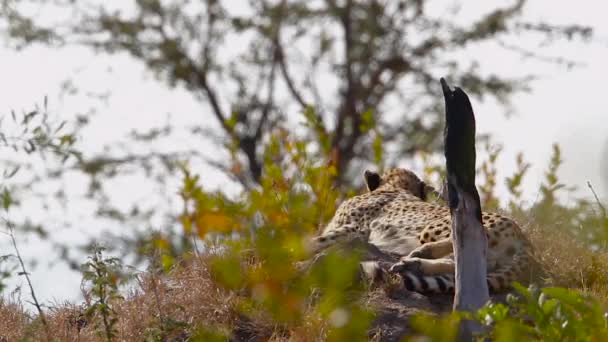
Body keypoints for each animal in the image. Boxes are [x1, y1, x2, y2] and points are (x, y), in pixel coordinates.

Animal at [314, 167, 532, 292]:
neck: (395, 186)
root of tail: (525, 237)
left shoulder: (353, 228)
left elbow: (315, 241)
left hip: (434, 227)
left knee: (473, 238)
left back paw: (422, 252)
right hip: (489, 260)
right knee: (461, 266)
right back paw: (414, 263)